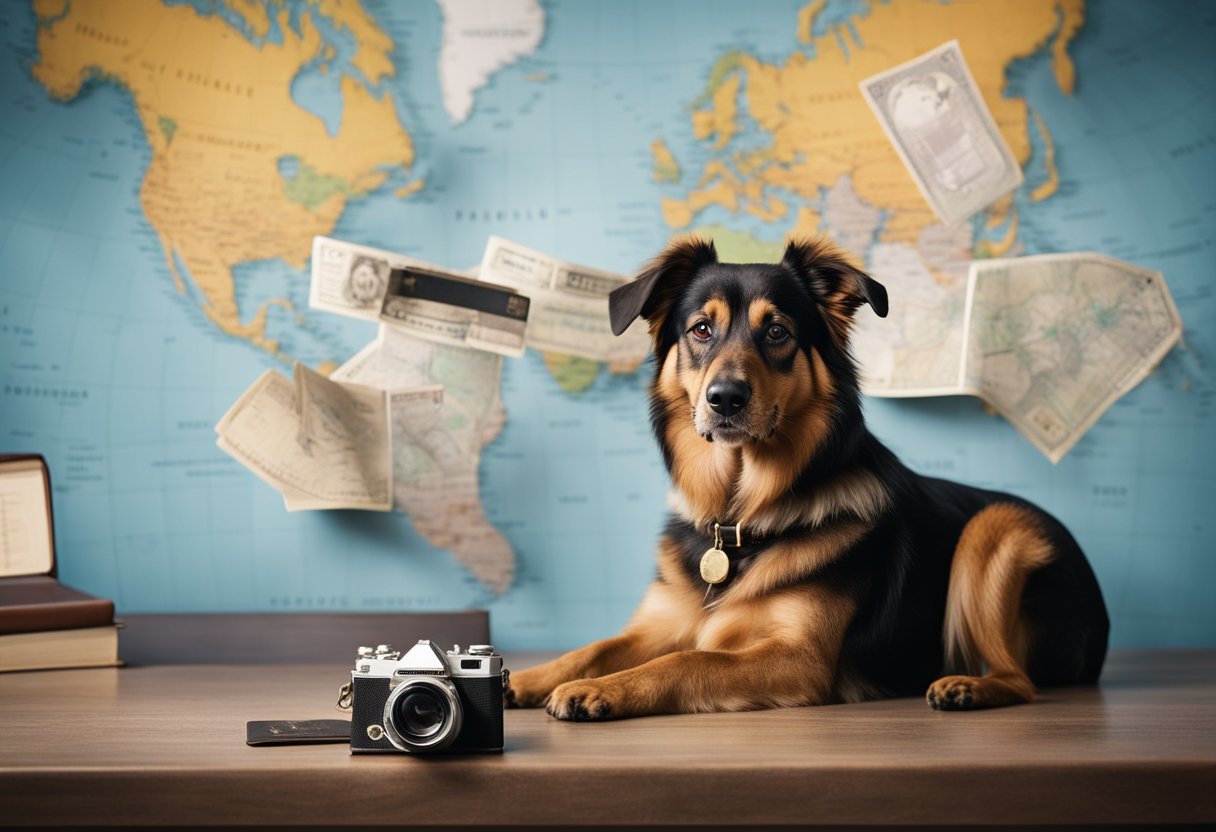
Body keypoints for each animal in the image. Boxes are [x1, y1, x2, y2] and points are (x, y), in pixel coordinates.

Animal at [505, 237, 1113, 720]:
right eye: (701, 329)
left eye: (777, 332)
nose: (724, 399)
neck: (741, 515)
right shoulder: (658, 625)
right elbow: (593, 648)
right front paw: (527, 677)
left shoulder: (800, 659)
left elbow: (688, 658)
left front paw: (597, 691)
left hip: (997, 527)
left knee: (1021, 681)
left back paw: (964, 686)